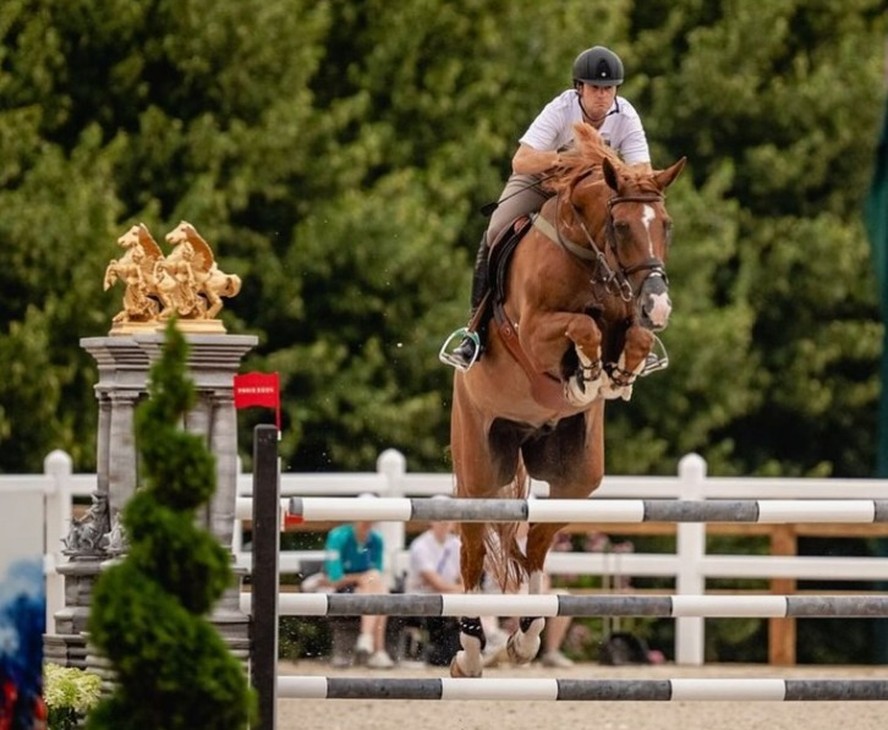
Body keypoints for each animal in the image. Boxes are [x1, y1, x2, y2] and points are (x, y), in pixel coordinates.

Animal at [450, 123, 688, 676]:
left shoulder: (628, 321)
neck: (589, 256)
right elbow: (580, 326)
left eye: (665, 225)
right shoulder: (535, 332)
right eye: (620, 226)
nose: (659, 305)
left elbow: (632, 338)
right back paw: (470, 649)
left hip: (575, 475)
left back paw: (527, 636)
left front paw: (611, 377)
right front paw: (589, 373)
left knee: (537, 543)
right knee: (472, 550)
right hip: (479, 466)